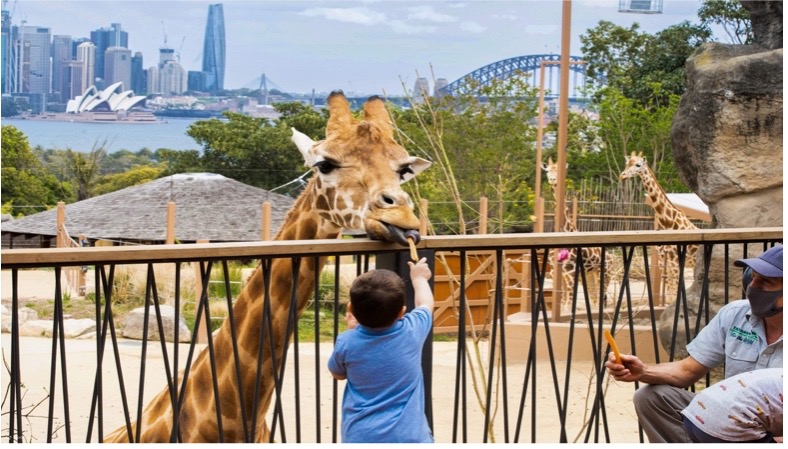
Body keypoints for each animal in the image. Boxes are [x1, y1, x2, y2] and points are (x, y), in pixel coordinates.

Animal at [540, 157, 616, 308]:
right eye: (547, 170)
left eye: (559, 170)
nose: (552, 179)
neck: (564, 230)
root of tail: (612, 257)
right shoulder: (556, 272)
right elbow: (562, 303)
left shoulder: (571, 273)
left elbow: (568, 305)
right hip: (589, 276)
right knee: (594, 301)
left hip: (604, 275)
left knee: (600, 301)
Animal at [620, 150, 700, 300]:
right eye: (627, 163)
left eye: (638, 165)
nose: (622, 175)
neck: (667, 222)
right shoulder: (664, 262)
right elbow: (669, 296)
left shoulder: (675, 263)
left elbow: (674, 295)